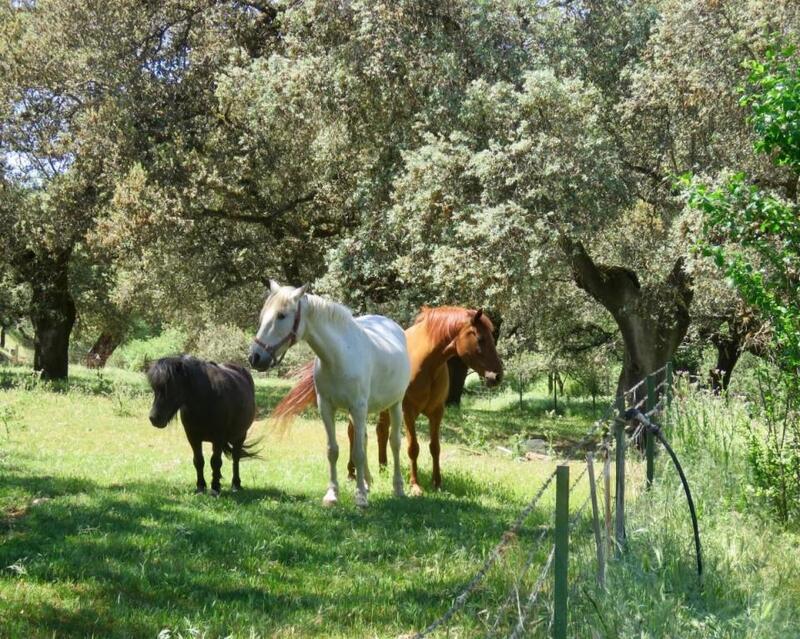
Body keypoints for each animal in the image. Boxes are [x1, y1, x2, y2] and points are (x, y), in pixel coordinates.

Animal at [145, 356, 256, 496]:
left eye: (171, 387)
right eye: (154, 388)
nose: (154, 418)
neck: (205, 400)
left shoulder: (218, 438)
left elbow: (215, 462)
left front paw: (215, 488)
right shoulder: (193, 438)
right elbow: (198, 461)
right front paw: (200, 487)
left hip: (240, 435)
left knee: (236, 458)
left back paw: (236, 484)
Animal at [248, 282, 412, 508]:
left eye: (281, 315)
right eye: (263, 315)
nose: (254, 357)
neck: (339, 356)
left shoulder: (358, 408)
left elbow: (358, 453)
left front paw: (360, 498)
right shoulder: (326, 407)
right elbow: (333, 451)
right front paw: (333, 494)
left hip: (395, 405)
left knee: (394, 443)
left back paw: (397, 488)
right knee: (364, 439)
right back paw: (367, 483)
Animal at [272, 308, 504, 498]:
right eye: (481, 339)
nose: (497, 376)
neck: (428, 363)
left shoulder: (437, 411)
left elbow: (435, 447)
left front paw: (437, 483)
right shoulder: (408, 411)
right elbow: (413, 447)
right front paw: (415, 485)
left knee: (380, 431)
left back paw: (382, 467)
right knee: (354, 433)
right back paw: (352, 472)